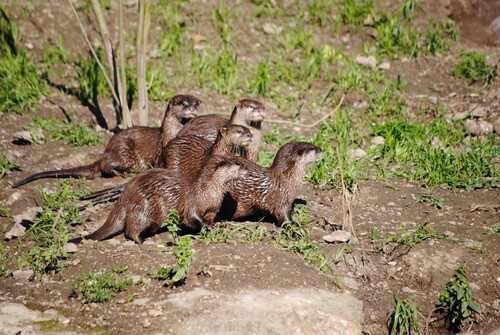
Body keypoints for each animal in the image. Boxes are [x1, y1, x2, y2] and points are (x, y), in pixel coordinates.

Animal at [12, 95, 199, 189]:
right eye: (183, 103)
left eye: (196, 103)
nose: (191, 108)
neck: (171, 132)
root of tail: (106, 151)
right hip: (125, 152)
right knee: (105, 166)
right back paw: (123, 173)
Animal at [79, 155, 248, 244]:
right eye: (238, 164)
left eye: (241, 160)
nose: (247, 168)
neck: (208, 192)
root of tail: (125, 196)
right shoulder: (192, 202)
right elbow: (192, 218)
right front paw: (207, 226)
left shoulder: (213, 209)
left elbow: (210, 219)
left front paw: (218, 225)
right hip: (145, 208)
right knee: (132, 229)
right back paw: (142, 240)